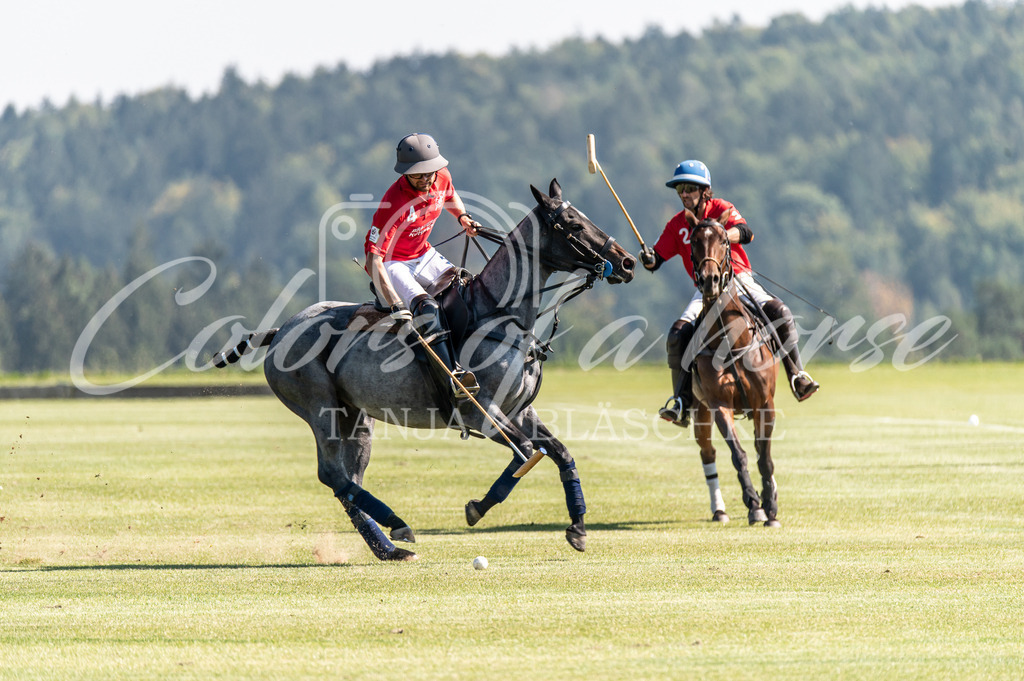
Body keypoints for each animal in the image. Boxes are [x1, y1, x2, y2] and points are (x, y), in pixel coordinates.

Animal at [214, 178, 630, 561]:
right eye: (573, 224)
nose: (626, 262)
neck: (500, 315)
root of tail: (281, 330)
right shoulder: (481, 414)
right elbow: (525, 454)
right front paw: (477, 508)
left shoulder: (519, 411)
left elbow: (561, 453)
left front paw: (578, 529)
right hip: (320, 408)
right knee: (332, 474)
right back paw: (397, 525)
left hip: (355, 418)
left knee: (346, 479)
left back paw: (388, 548)